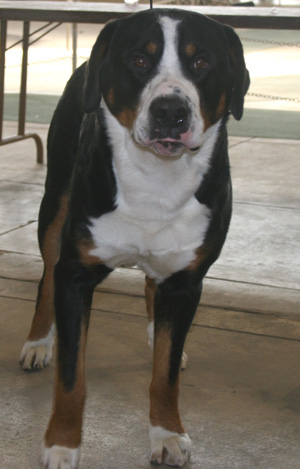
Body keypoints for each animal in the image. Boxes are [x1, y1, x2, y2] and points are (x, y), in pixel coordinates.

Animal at [18, 8, 248, 468]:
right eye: (140, 60)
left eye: (201, 62)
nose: (170, 111)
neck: (156, 181)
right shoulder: (75, 275)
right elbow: (71, 377)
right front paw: (62, 443)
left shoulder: (186, 282)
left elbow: (165, 375)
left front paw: (167, 433)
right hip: (55, 205)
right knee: (45, 275)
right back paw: (37, 342)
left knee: (152, 290)